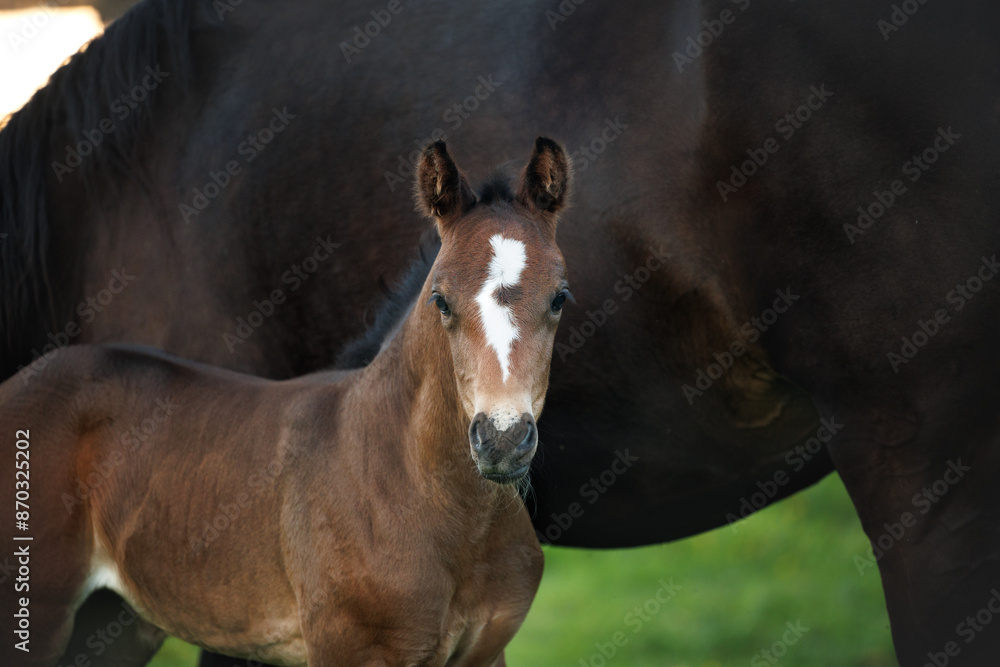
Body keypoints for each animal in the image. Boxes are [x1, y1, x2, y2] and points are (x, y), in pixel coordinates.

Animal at [0, 138, 577, 666]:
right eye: (441, 300)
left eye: (559, 297)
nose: (501, 439)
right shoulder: (351, 650)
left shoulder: (485, 652)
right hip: (35, 614)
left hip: (112, 621)